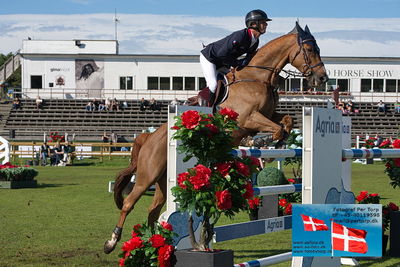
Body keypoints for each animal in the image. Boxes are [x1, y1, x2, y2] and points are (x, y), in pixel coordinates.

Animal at [103, 22, 328, 254]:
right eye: (310, 49)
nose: (323, 78)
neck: (258, 78)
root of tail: (149, 137)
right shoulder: (249, 118)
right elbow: (275, 128)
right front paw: (260, 143)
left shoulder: (268, 114)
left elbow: (287, 121)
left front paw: (276, 143)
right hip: (147, 175)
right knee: (129, 203)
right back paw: (112, 242)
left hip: (163, 181)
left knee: (153, 210)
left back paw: (155, 244)